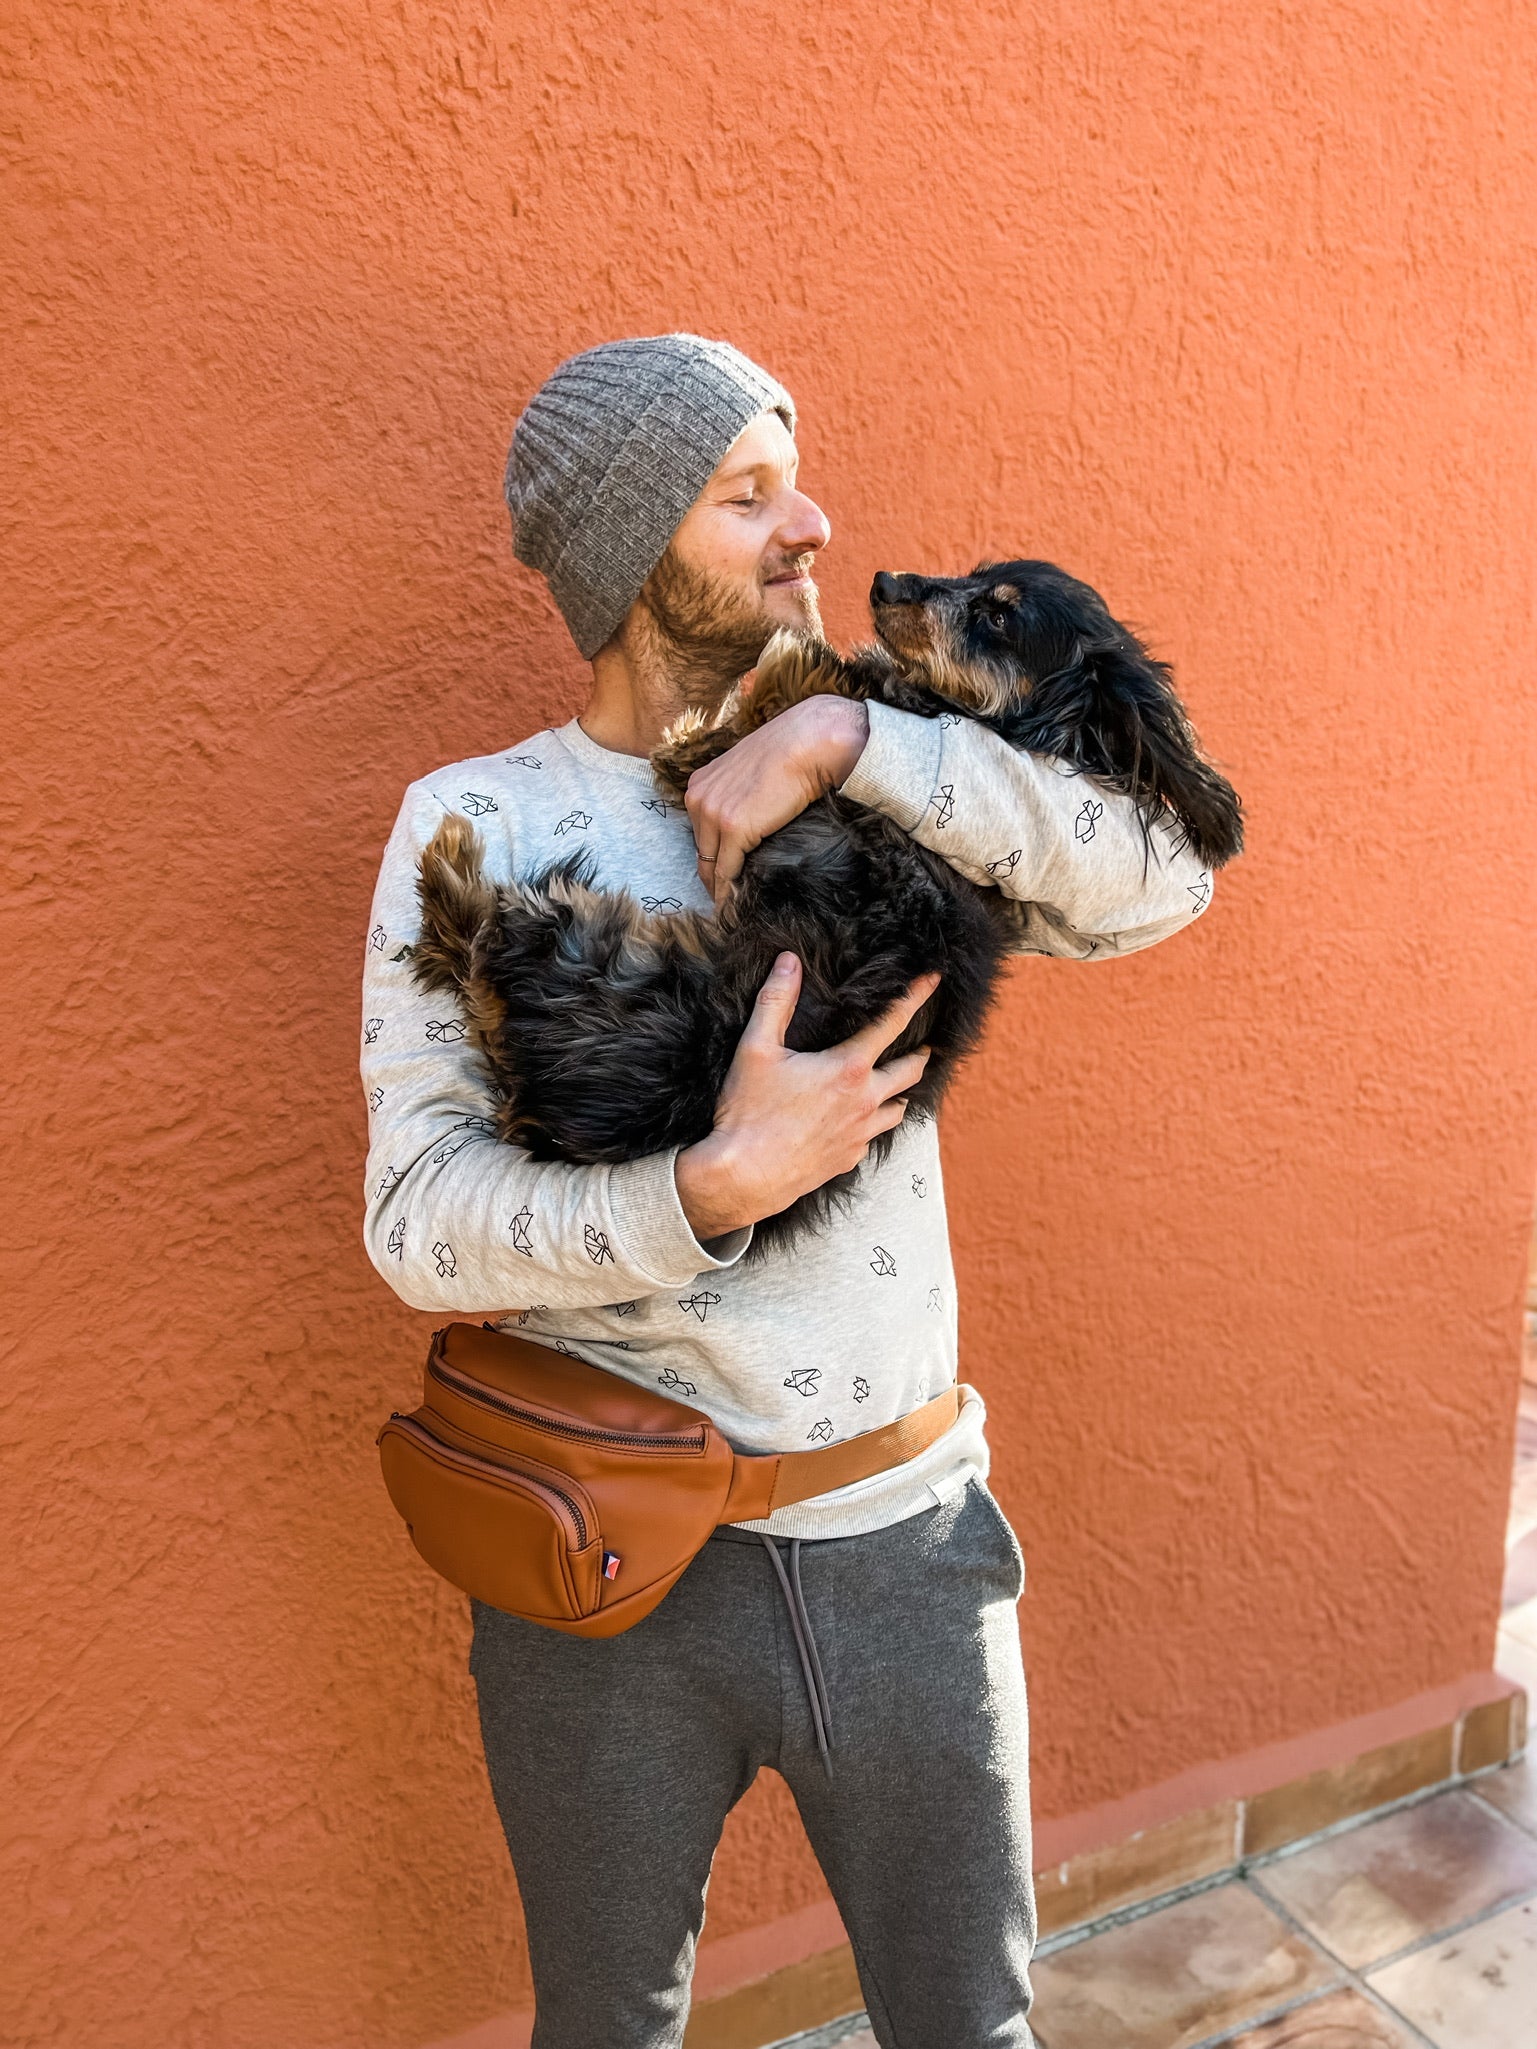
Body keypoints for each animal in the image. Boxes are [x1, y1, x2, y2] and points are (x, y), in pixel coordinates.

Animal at [416, 561, 1245, 1245]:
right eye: (972, 572)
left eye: (997, 615)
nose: (886, 581)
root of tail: (537, 1107)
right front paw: (701, 735)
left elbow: (814, 693)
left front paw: (768, 682)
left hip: (583, 938)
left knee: (477, 937)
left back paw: (448, 862)